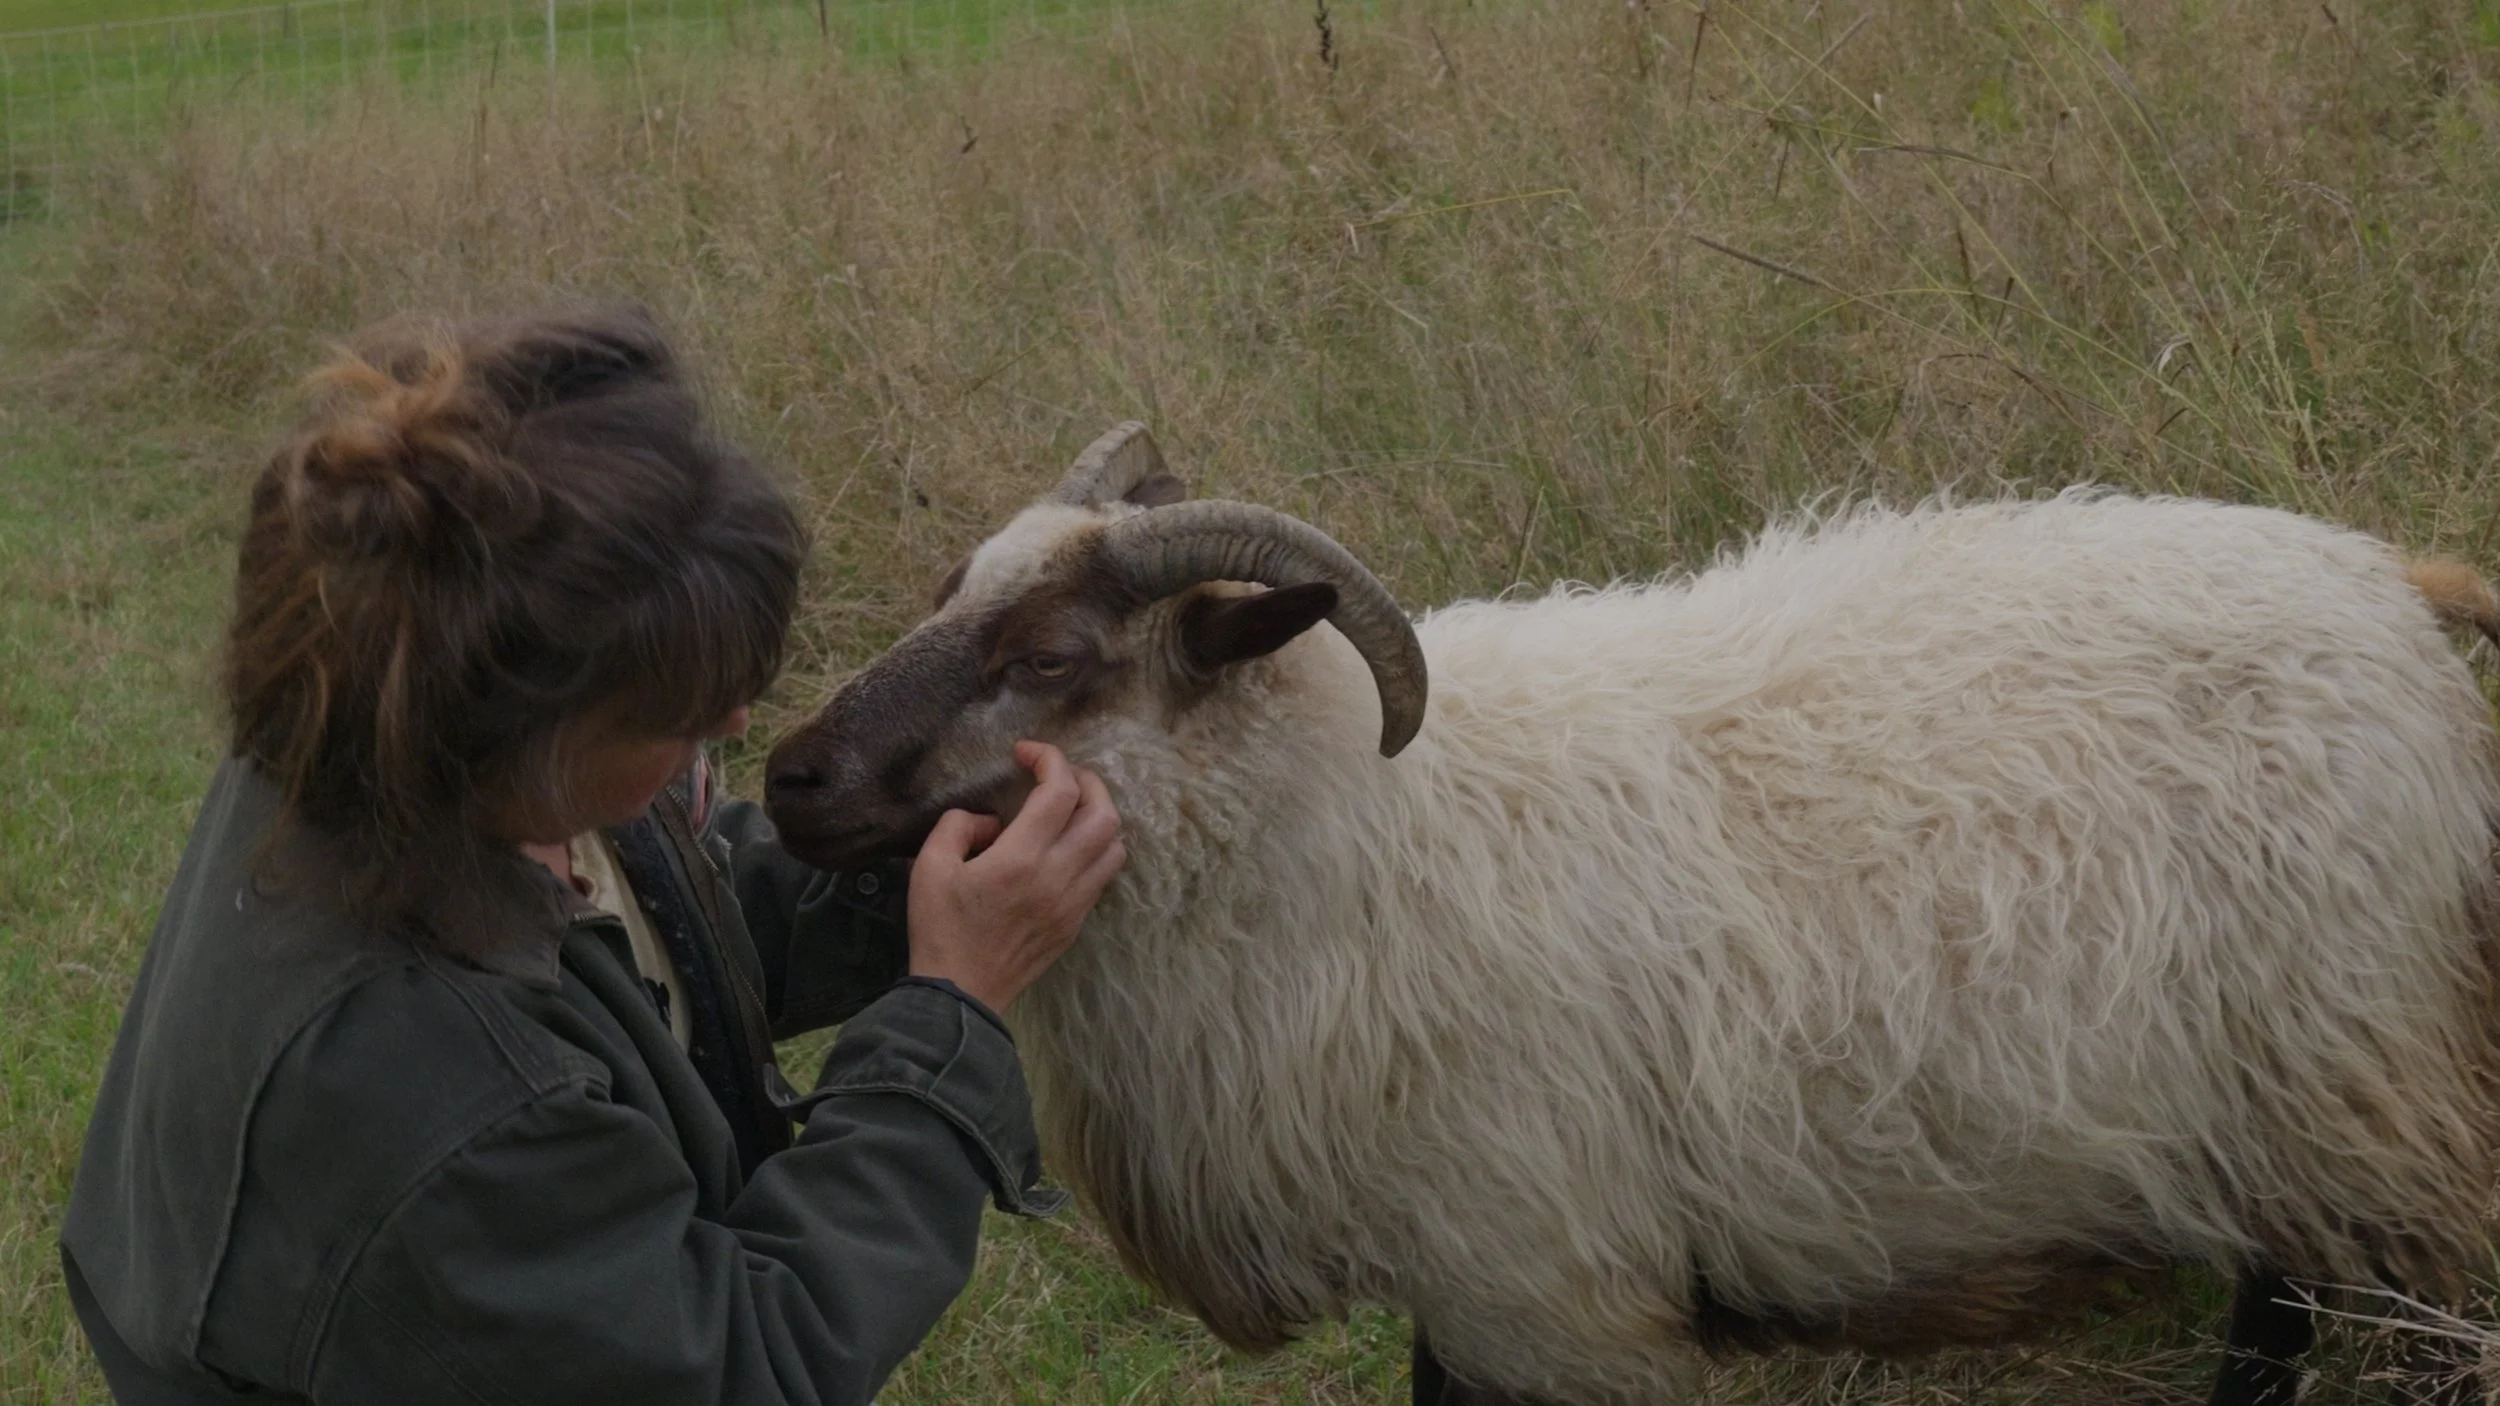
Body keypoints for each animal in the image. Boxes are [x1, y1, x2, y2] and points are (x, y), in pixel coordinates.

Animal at [763, 422, 2500, 1406]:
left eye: (1052, 657)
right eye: (943, 594)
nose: (787, 778)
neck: (1353, 837)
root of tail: (2392, 582)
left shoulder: (1547, 1289)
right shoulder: (1478, 1290)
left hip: (2359, 1086)